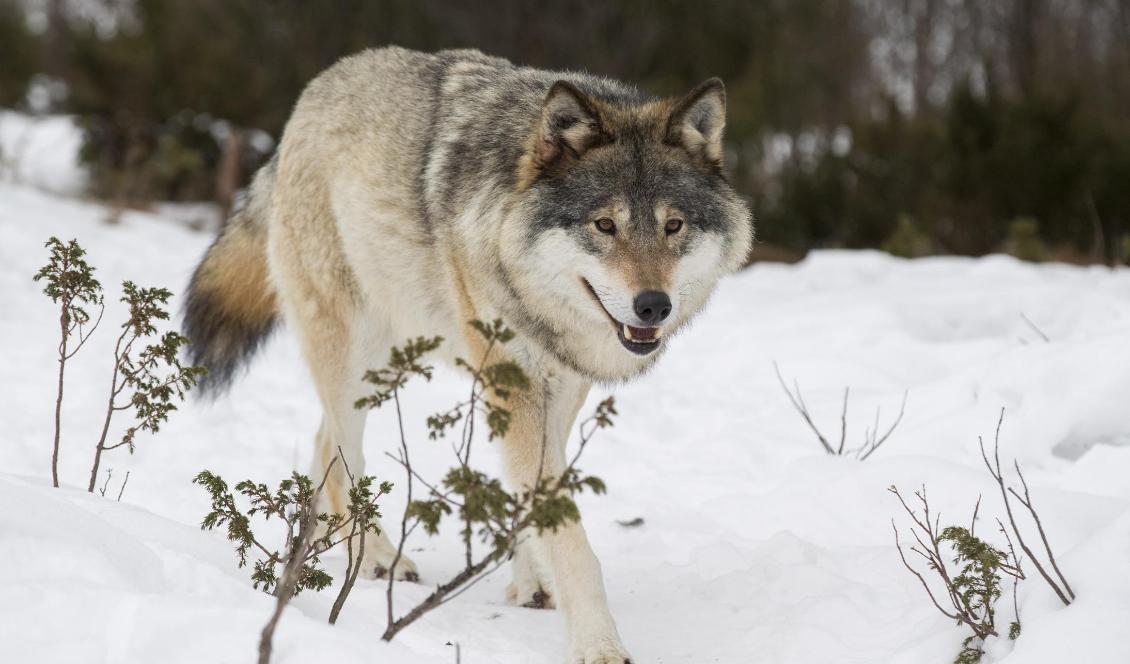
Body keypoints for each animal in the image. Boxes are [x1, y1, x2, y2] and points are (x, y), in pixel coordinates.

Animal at [183, 47, 750, 664]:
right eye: (605, 225)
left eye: (673, 226)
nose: (654, 306)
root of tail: (315, 92)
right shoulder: (516, 385)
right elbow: (570, 538)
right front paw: (598, 643)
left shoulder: (559, 390)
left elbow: (535, 500)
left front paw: (532, 583)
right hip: (356, 358)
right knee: (343, 454)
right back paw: (374, 557)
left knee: (321, 443)